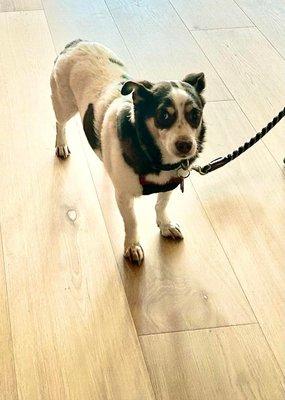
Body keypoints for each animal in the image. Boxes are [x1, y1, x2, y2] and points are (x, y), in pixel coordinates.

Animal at [51, 39, 205, 266]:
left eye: (195, 115)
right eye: (163, 115)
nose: (185, 145)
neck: (156, 159)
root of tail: (77, 42)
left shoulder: (170, 184)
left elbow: (161, 204)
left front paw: (165, 225)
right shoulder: (124, 196)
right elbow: (132, 221)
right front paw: (132, 246)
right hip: (63, 104)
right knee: (59, 123)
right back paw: (61, 144)